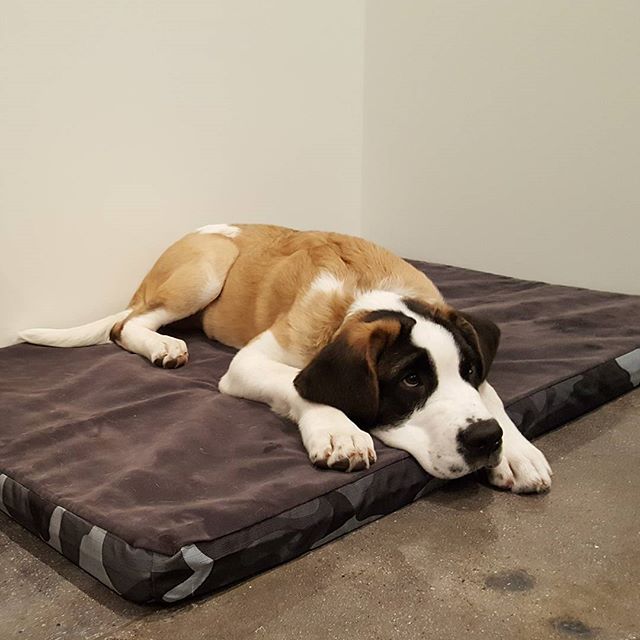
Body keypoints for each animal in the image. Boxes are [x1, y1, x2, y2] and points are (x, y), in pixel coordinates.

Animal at [20, 223, 552, 493]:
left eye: (468, 370)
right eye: (411, 381)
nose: (484, 441)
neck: (368, 296)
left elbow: (492, 397)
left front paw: (518, 451)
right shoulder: (248, 364)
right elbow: (299, 384)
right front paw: (338, 430)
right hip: (207, 268)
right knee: (125, 325)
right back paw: (163, 346)